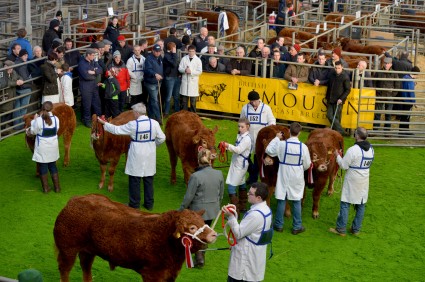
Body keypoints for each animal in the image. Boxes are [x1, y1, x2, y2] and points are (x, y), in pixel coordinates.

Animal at [53, 194, 217, 282]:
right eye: (192, 227)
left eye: (203, 221)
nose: (214, 234)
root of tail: (74, 200)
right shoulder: (152, 274)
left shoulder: (170, 274)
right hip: (67, 248)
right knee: (64, 269)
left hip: (88, 251)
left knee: (86, 267)